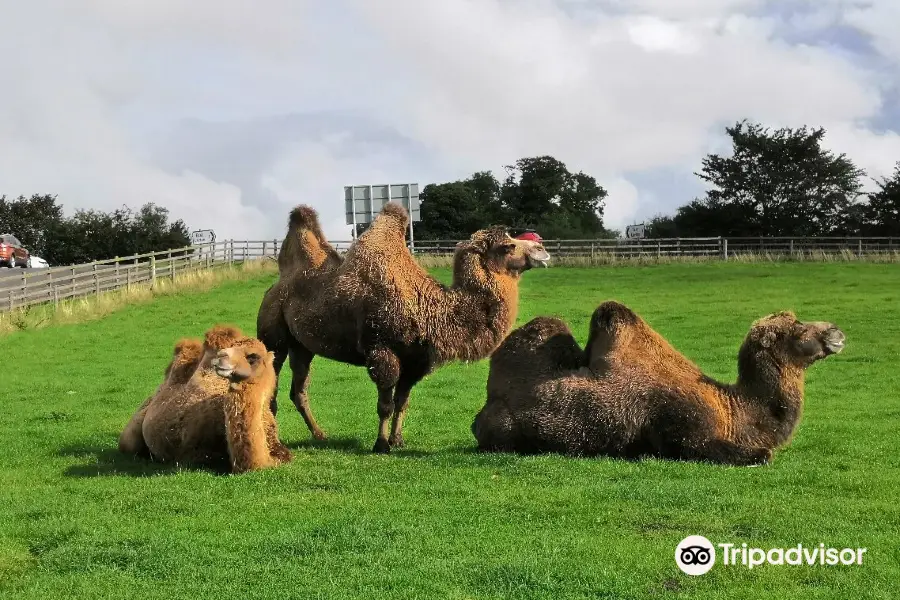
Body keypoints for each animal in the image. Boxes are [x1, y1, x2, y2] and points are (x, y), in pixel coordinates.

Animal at [256, 202, 552, 450]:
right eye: (507, 246)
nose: (542, 249)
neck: (428, 309)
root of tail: (275, 286)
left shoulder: (416, 361)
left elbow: (402, 402)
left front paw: (398, 440)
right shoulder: (382, 351)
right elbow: (385, 404)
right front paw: (380, 444)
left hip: (302, 346)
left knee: (299, 389)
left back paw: (319, 435)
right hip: (273, 335)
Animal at [472, 302, 844, 466]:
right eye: (796, 327)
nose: (836, 331)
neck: (732, 410)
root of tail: (482, 412)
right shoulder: (684, 430)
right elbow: (762, 454)